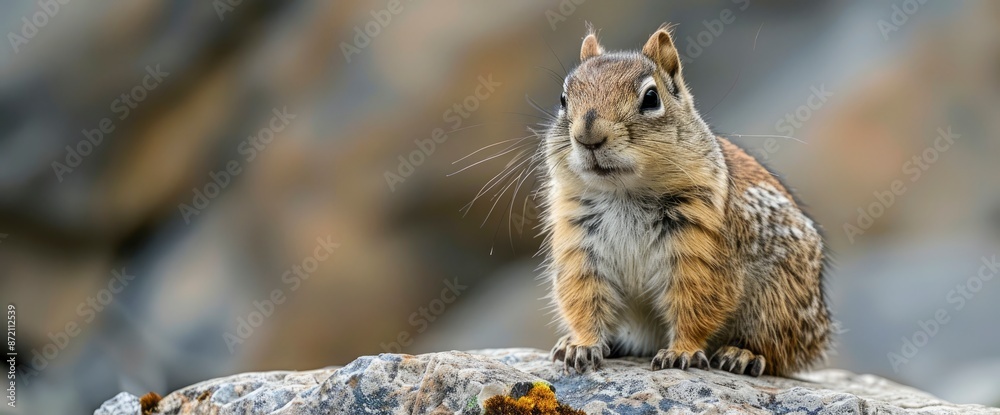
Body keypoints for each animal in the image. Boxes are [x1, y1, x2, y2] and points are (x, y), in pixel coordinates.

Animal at [543, 25, 830, 377]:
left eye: (651, 98)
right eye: (563, 99)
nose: (588, 136)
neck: (624, 192)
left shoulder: (697, 255)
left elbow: (694, 308)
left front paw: (680, 353)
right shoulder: (580, 250)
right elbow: (583, 301)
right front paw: (581, 346)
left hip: (777, 307)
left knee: (778, 353)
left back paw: (742, 355)